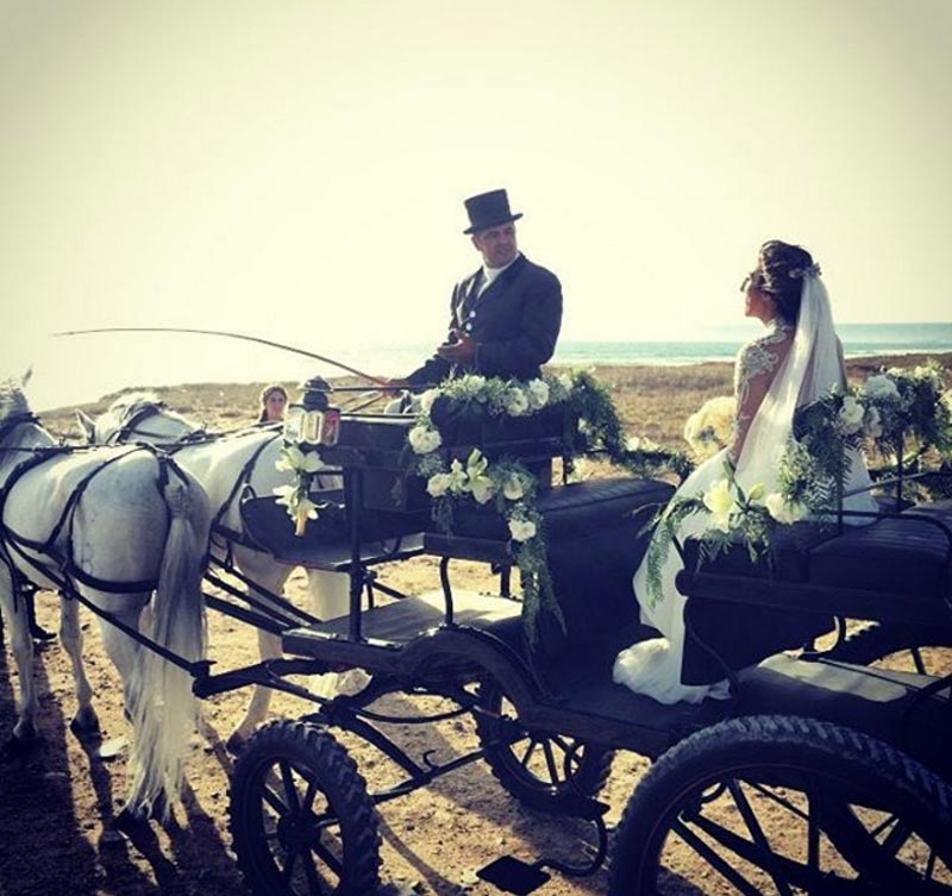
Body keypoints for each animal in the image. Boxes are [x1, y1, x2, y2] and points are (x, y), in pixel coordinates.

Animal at [0, 378, 212, 820]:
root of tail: (167, 477)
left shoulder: (6, 577)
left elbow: (21, 645)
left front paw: (25, 723)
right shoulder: (65, 583)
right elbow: (70, 638)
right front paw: (84, 713)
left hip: (117, 617)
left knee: (142, 692)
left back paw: (140, 800)